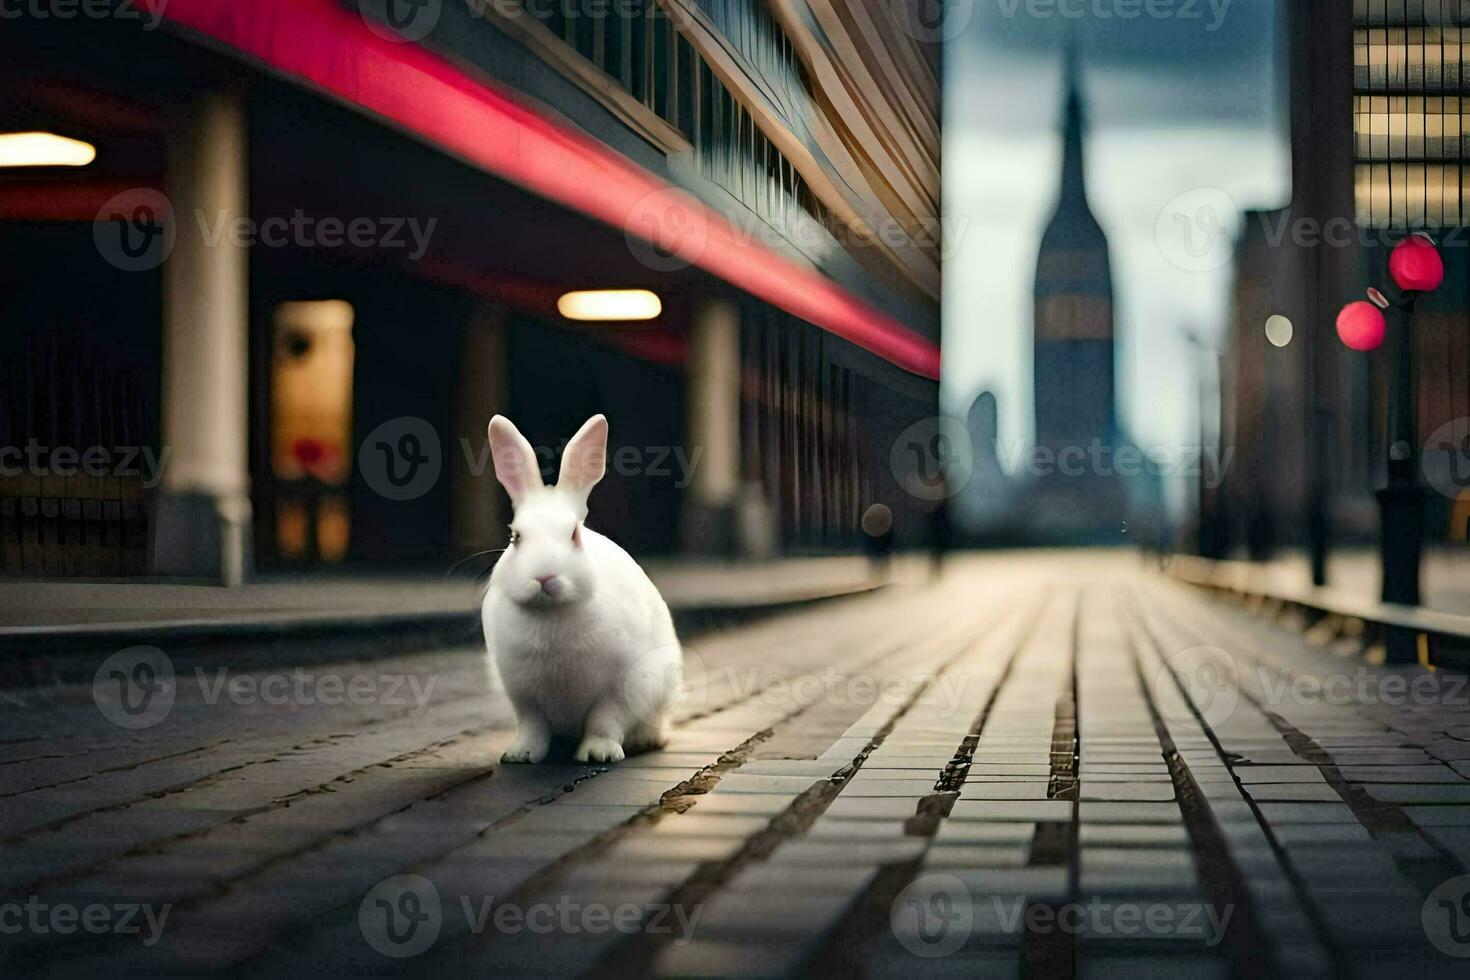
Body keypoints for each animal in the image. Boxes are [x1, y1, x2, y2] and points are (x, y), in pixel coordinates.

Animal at [488, 414, 682, 764]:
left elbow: (603, 721)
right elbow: (532, 727)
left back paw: (646, 741)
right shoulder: (523, 695)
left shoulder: (618, 688)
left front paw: (598, 754)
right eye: (515, 537)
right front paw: (521, 754)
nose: (544, 576)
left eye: (574, 535)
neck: (552, 613)